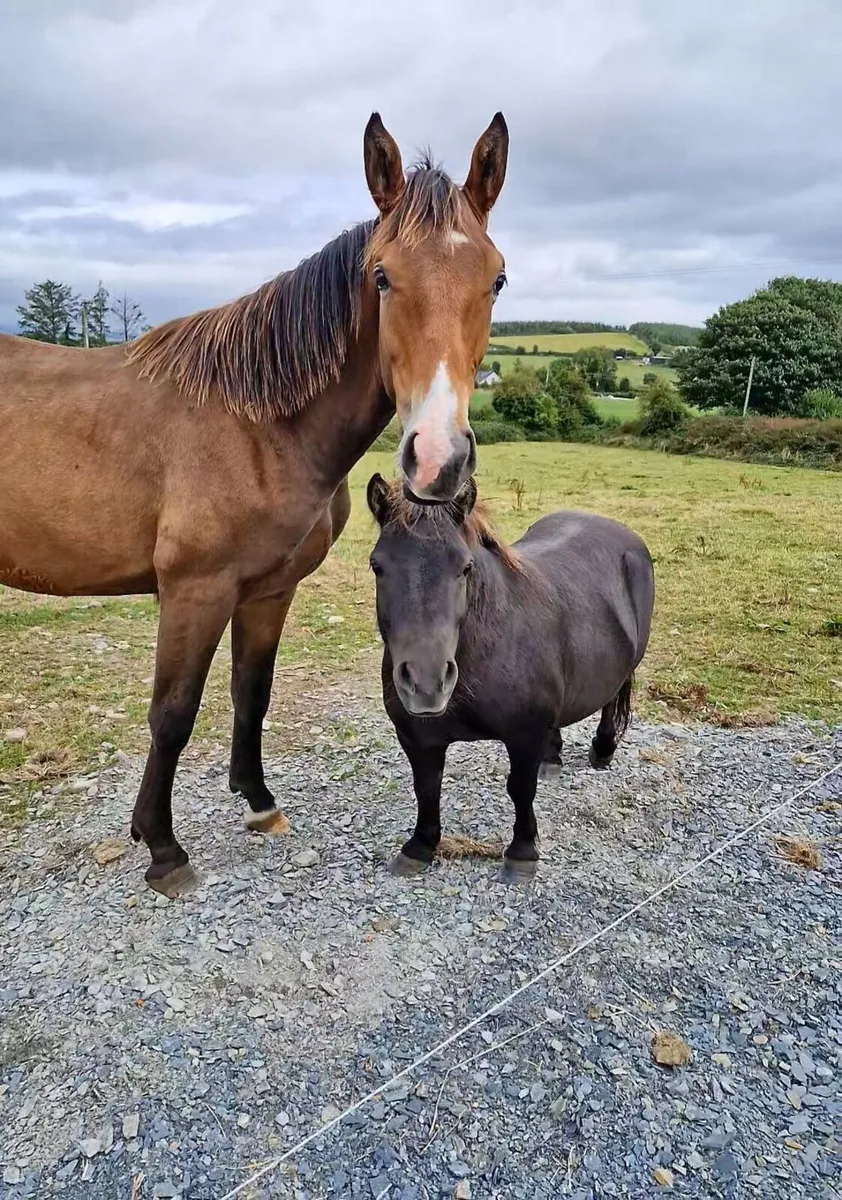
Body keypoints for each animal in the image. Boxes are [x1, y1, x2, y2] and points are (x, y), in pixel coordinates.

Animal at [0, 113, 510, 897]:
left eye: (496, 279)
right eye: (382, 275)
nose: (437, 459)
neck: (257, 423)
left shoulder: (269, 590)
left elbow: (252, 691)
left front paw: (259, 802)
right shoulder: (195, 590)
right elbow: (173, 712)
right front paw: (162, 848)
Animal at [366, 474, 655, 883]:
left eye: (465, 567)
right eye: (377, 566)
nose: (426, 685)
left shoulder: (523, 734)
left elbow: (520, 788)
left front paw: (522, 853)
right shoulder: (416, 736)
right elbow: (426, 787)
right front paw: (420, 846)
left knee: (612, 698)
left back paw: (603, 749)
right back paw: (553, 758)